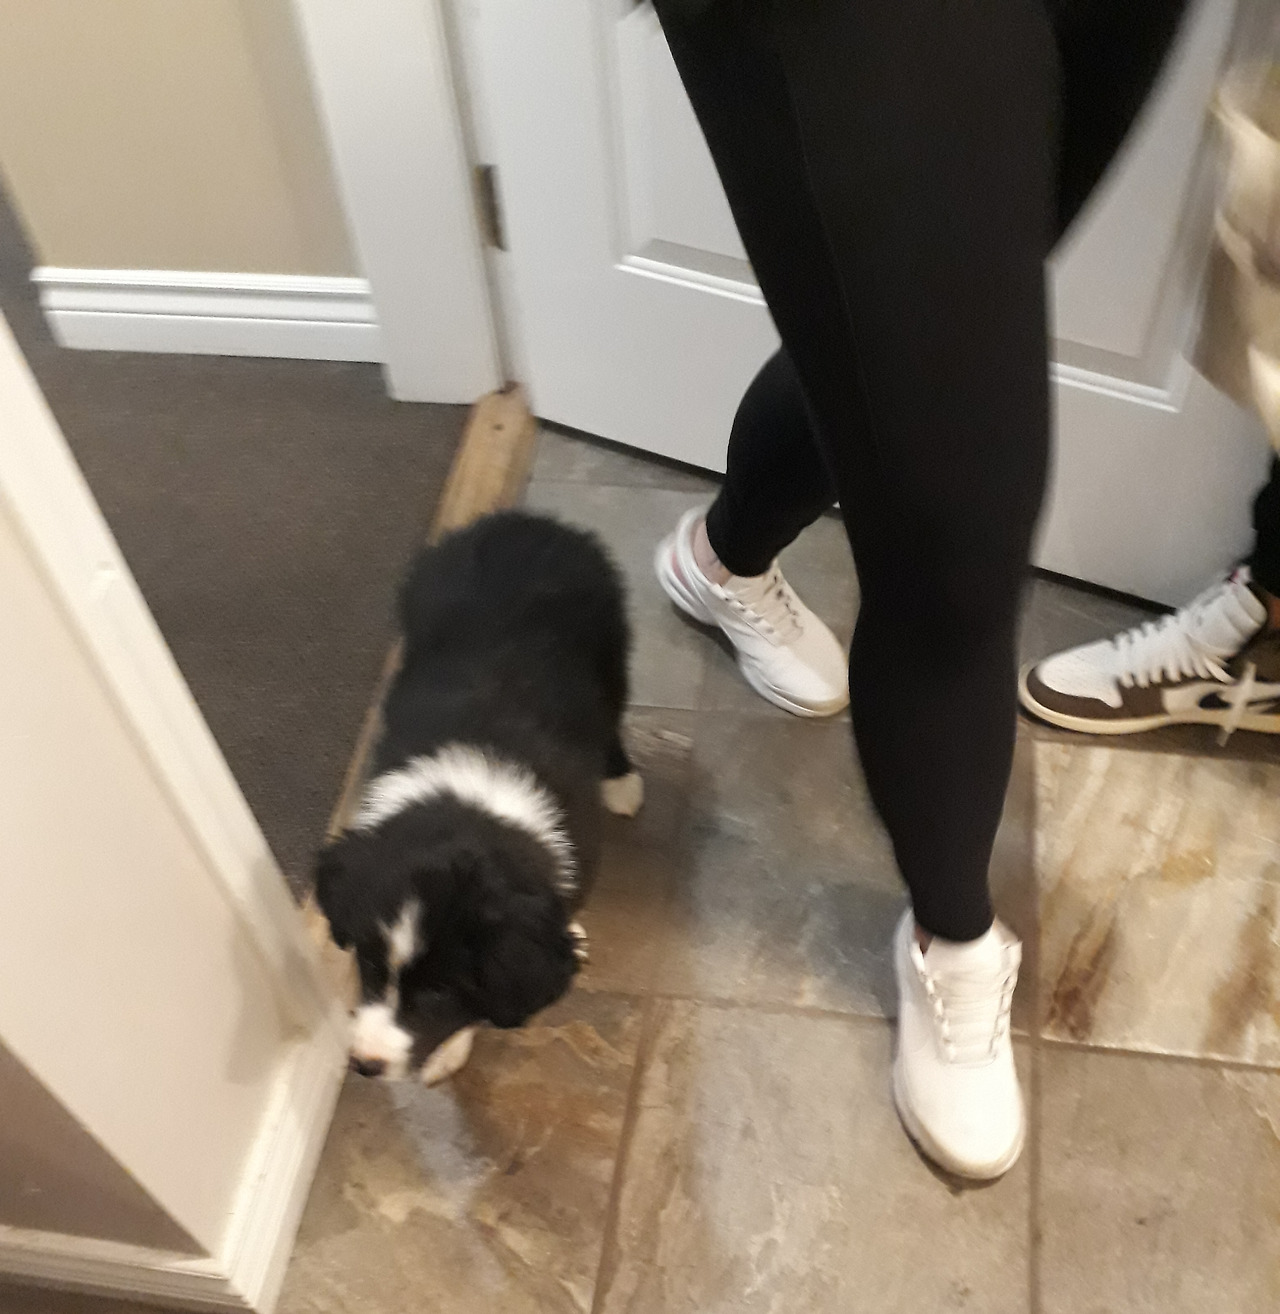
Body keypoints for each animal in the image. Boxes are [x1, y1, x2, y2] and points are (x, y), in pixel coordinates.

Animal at [315, 510, 642, 1084]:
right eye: (370, 964)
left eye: (439, 993)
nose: (365, 1066)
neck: (474, 801)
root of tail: (525, 521)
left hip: (613, 654)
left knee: (614, 716)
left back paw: (622, 780)